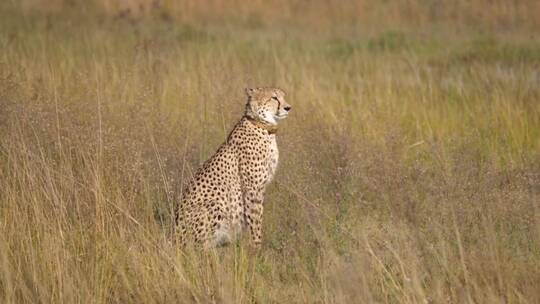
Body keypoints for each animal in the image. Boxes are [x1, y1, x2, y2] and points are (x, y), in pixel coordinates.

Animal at [175, 86, 292, 248]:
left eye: (283, 96)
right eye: (274, 98)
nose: (288, 107)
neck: (261, 125)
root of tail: (173, 236)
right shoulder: (252, 188)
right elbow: (255, 220)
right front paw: (257, 248)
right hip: (216, 202)